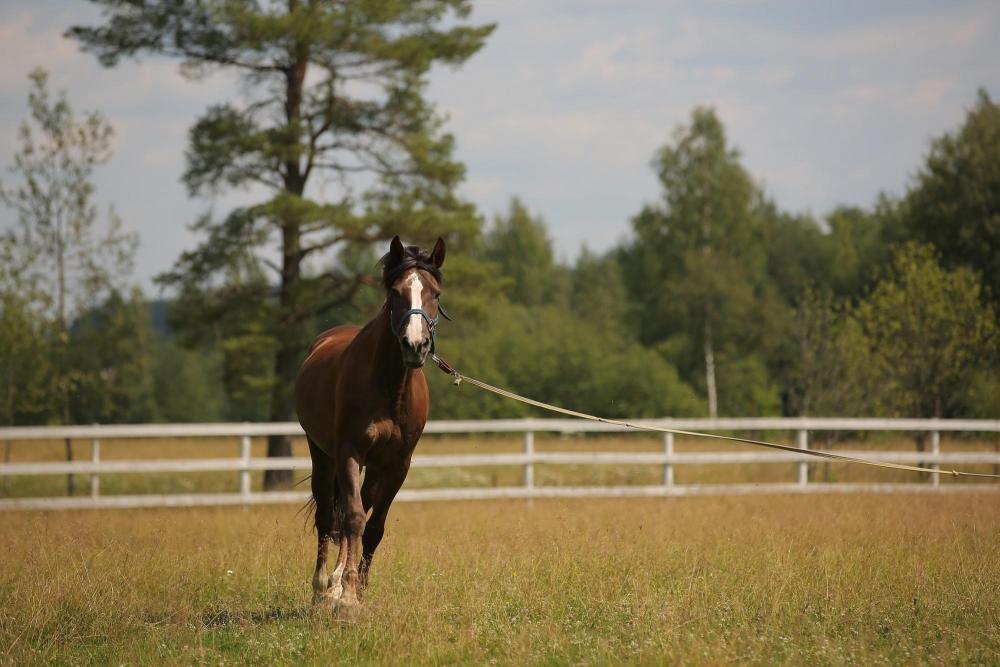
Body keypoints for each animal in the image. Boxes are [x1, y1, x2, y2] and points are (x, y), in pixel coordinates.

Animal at [294, 235, 446, 618]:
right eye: (395, 292)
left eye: (435, 293)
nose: (415, 345)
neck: (389, 387)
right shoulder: (349, 452)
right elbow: (352, 520)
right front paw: (346, 597)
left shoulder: (398, 464)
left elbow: (373, 527)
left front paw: (357, 591)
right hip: (322, 455)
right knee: (328, 516)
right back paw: (323, 587)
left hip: (374, 467)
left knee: (361, 508)